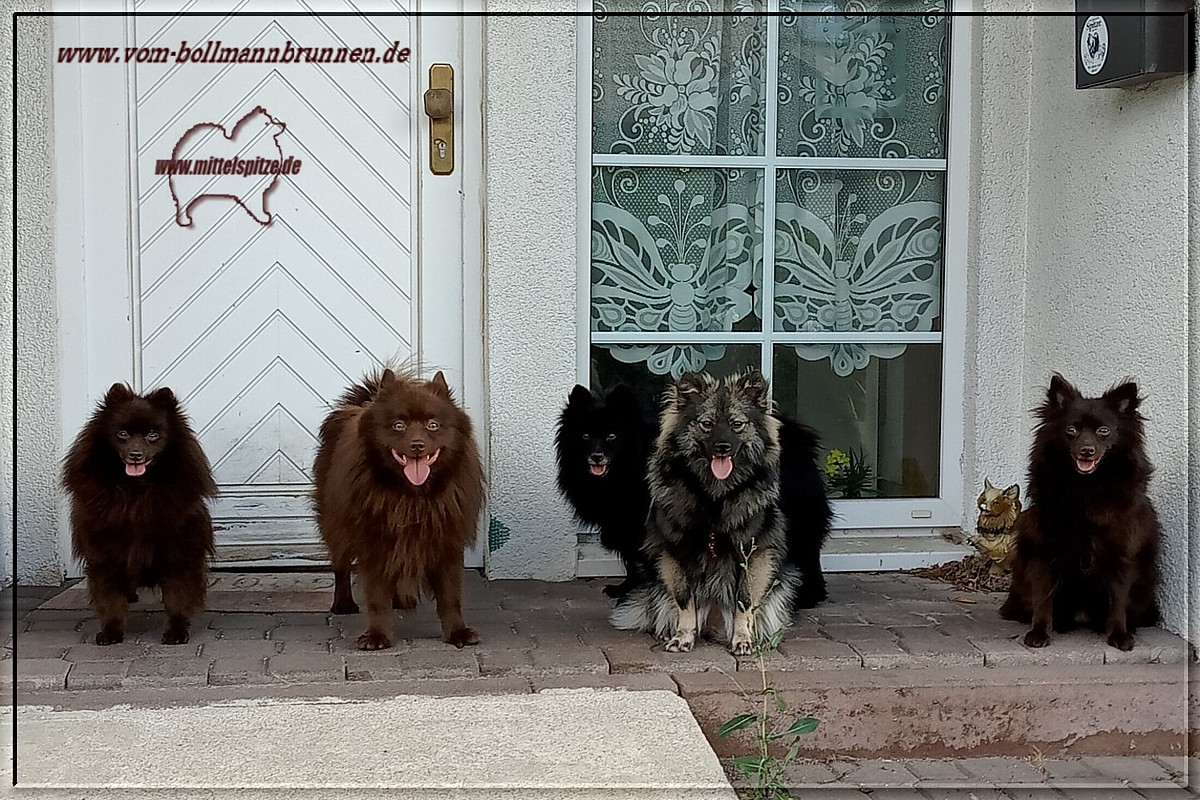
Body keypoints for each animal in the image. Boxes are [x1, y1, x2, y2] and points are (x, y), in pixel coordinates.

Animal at [63, 383, 219, 647]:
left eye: (152, 435)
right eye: (123, 434)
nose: (135, 454)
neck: (136, 492)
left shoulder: (178, 549)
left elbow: (177, 596)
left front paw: (176, 631)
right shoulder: (105, 552)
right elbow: (111, 598)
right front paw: (111, 632)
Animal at [314, 369, 482, 652]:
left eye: (433, 425)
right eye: (399, 426)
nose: (417, 445)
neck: (412, 496)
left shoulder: (446, 541)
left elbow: (450, 596)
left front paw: (458, 632)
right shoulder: (374, 542)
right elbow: (377, 596)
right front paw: (377, 635)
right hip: (335, 522)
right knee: (341, 564)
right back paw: (343, 603)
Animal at [556, 383, 830, 606]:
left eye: (612, 436)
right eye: (585, 436)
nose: (596, 456)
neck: (629, 467)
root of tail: (802, 446)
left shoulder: (640, 525)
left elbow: (638, 563)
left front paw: (632, 593)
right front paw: (624, 590)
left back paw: (805, 598)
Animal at [1003, 374, 1161, 652]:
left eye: (1103, 431)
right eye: (1071, 430)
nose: (1087, 450)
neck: (1086, 487)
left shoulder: (1122, 553)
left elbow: (1118, 600)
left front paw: (1119, 635)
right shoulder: (1044, 552)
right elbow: (1043, 599)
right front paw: (1039, 632)